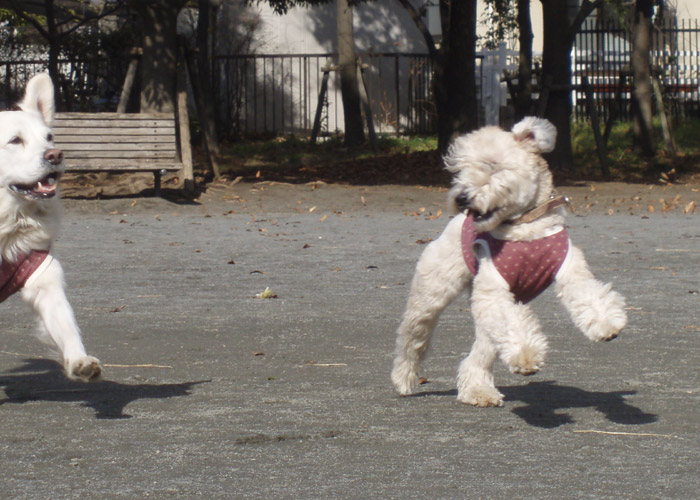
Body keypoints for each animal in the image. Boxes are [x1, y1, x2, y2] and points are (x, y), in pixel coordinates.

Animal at [0, 73, 101, 378]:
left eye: (49, 137)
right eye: (15, 140)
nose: (55, 155)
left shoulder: (42, 275)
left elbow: (66, 324)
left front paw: (80, 360)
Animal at [392, 117, 628, 406]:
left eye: (492, 164)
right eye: (460, 169)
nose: (460, 198)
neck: (523, 228)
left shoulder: (571, 270)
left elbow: (589, 295)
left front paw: (606, 324)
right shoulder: (494, 291)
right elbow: (513, 323)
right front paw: (526, 356)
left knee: (479, 352)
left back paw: (476, 391)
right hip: (431, 295)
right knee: (412, 338)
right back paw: (403, 379)